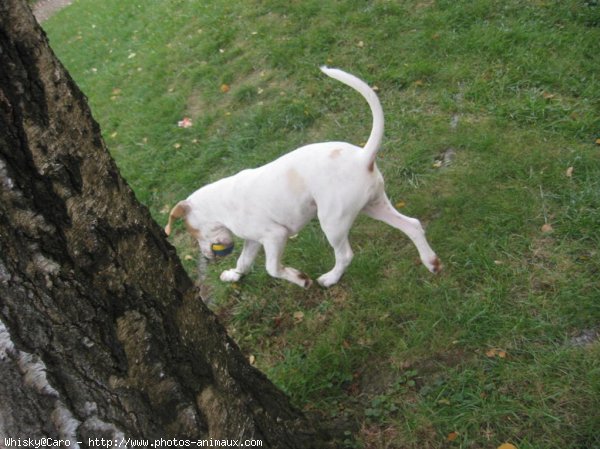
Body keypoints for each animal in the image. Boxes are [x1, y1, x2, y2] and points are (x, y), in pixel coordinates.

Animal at [164, 65, 440, 288]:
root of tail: (363, 157)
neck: (220, 203)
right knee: (413, 225)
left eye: (192, 232)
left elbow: (272, 268)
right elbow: (244, 262)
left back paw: (330, 279)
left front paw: (300, 279)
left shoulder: (274, 236)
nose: (208, 257)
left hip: (332, 221)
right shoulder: (254, 240)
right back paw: (431, 262)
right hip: (374, 206)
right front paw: (232, 275)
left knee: (345, 255)